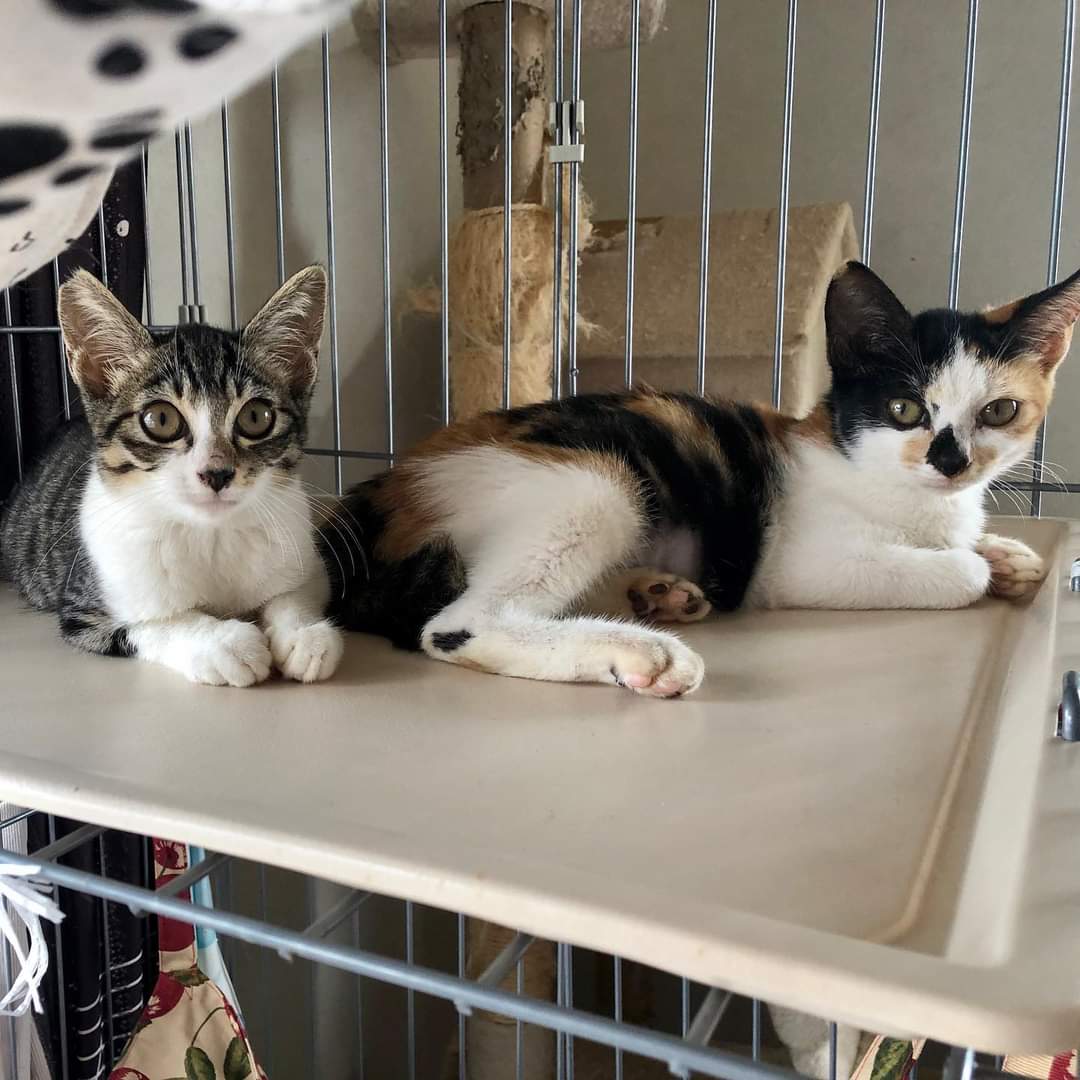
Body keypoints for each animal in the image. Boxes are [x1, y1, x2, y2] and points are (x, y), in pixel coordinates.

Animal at [0, 265, 343, 687]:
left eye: (256, 417)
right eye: (161, 420)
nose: (216, 472)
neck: (211, 535)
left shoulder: (305, 557)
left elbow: (294, 594)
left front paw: (305, 635)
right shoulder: (86, 609)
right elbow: (155, 624)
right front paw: (223, 643)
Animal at [327, 260, 1079, 700]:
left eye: (1000, 411)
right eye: (905, 410)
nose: (951, 462)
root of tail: (377, 489)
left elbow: (977, 546)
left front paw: (1007, 554)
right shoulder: (798, 565)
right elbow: (954, 571)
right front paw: (977, 563)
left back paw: (658, 593)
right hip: (598, 482)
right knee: (458, 624)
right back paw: (637, 649)